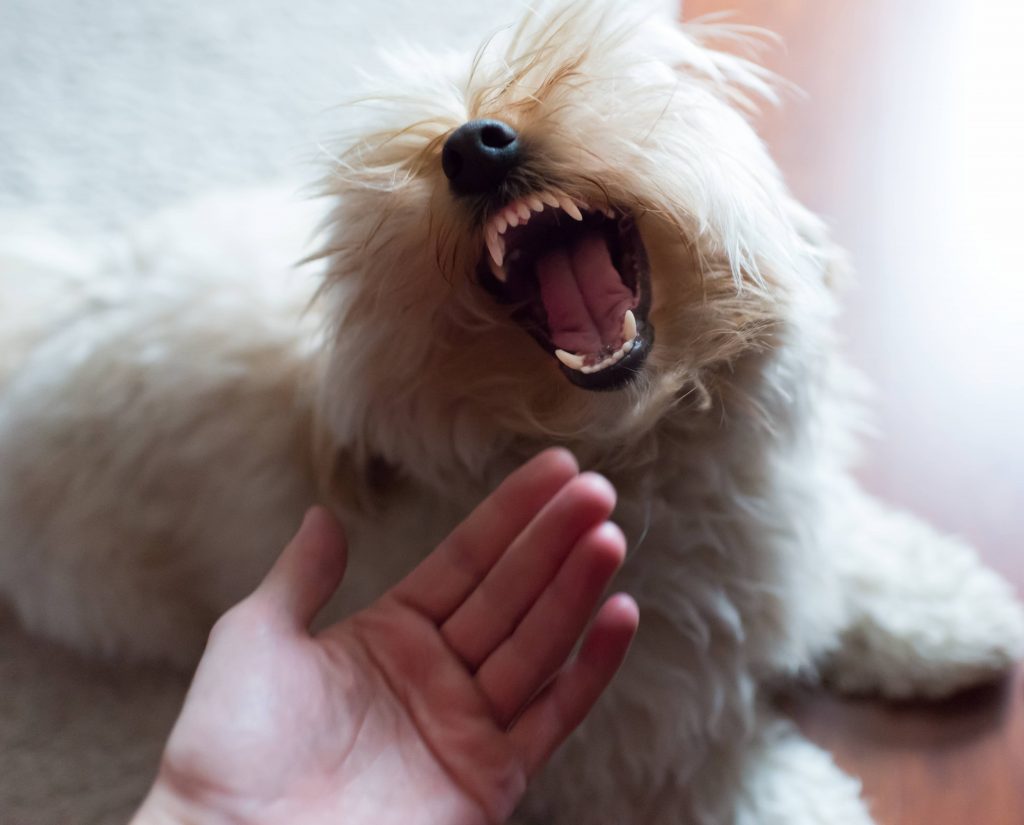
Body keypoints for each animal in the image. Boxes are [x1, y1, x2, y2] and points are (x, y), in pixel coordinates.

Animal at [2, 3, 1024, 822]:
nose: (473, 145)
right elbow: (715, 780)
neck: (644, 453)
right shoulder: (618, 730)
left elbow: (855, 557)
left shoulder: (781, 521)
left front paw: (944, 609)